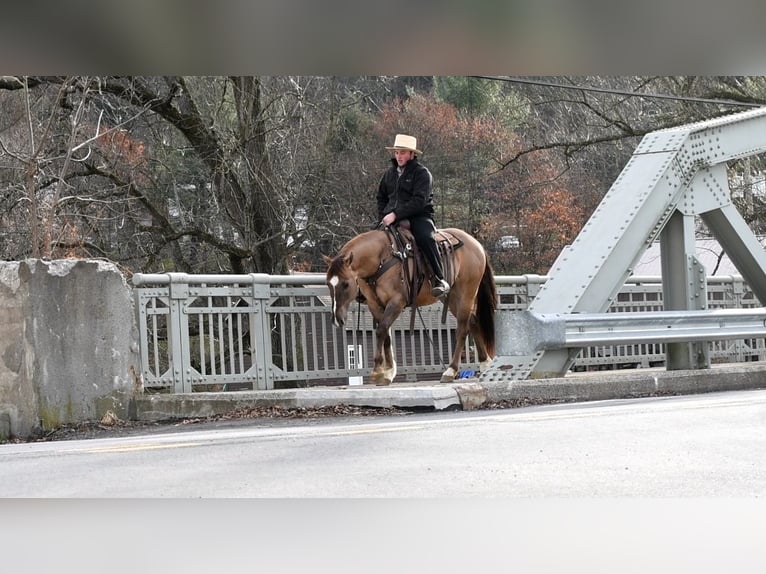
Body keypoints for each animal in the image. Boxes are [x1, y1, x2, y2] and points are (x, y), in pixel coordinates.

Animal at [322, 226, 498, 388]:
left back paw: (450, 370)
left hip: (466, 293)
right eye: (328, 284)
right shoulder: (375, 305)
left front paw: (378, 370)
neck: (381, 259)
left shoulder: (396, 302)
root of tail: (476, 244)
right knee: (473, 322)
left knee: (462, 329)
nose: (337, 319)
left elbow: (381, 330)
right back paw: (485, 363)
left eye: (345, 284)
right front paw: (388, 373)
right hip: (452, 297)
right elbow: (385, 334)